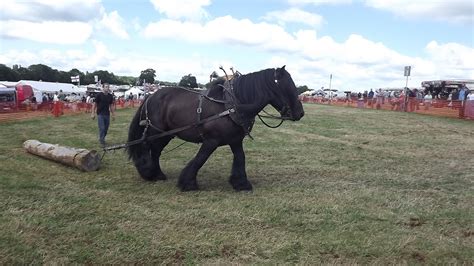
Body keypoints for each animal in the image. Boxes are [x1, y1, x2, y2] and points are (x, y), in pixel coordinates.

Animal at [127, 66, 304, 191]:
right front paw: (188, 183)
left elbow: (240, 157)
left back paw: (156, 174)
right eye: (287, 86)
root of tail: (150, 96)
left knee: (156, 151)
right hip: (157, 132)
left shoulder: (235, 140)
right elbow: (200, 158)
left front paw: (241, 183)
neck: (232, 105)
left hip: (166, 134)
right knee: (149, 148)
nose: (300, 113)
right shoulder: (211, 141)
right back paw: (148, 172)